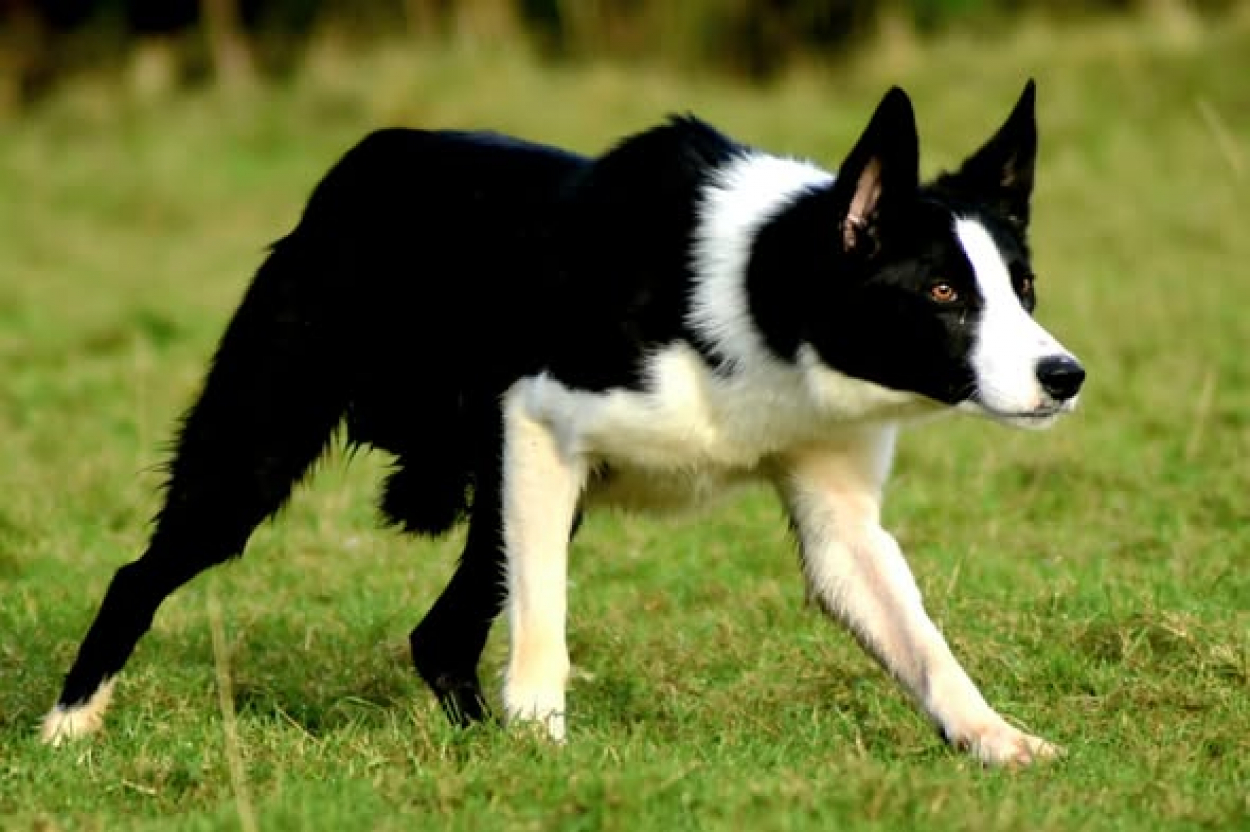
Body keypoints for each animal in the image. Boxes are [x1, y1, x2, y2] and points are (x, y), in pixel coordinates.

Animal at [42, 80, 1083, 766]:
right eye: (944, 293)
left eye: (1025, 287)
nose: (1065, 376)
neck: (764, 293)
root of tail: (359, 166)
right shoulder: (542, 427)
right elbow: (546, 614)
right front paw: (545, 742)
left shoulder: (841, 525)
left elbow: (925, 646)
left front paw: (1001, 742)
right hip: (258, 450)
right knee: (141, 574)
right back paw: (67, 725)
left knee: (438, 635)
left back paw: (473, 746)